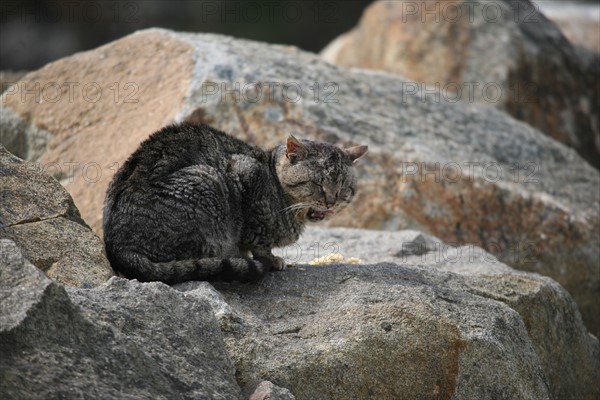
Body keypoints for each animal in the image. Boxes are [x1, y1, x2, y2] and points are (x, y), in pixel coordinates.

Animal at [102, 123, 366, 282]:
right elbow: (259, 240)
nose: (330, 202)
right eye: (318, 184)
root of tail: (119, 246)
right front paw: (270, 259)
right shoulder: (246, 175)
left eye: (343, 187)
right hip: (208, 180)